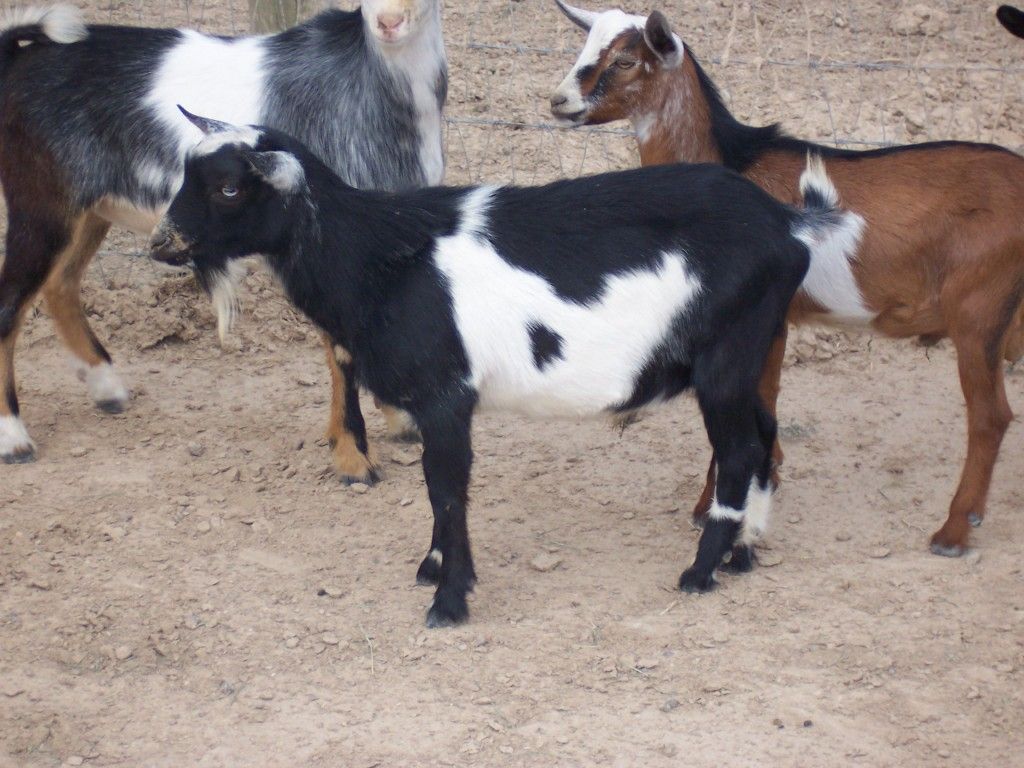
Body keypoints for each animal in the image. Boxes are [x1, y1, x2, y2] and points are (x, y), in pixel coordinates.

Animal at [0, 1, 445, 481]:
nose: (388, 22)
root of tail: (17, 57)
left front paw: (400, 420)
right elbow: (341, 348)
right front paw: (353, 458)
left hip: (90, 208)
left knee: (59, 283)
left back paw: (107, 387)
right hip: (42, 200)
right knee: (11, 303)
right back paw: (13, 437)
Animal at [149, 113, 857, 625]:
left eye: (229, 187)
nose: (163, 243)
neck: (381, 254)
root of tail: (789, 224)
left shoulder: (445, 394)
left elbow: (446, 489)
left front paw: (449, 600)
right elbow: (437, 492)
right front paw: (433, 567)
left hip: (726, 360)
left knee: (738, 452)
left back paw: (699, 573)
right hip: (754, 355)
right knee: (766, 437)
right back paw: (743, 553)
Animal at [551, 1, 1024, 558]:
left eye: (626, 60)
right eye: (585, 47)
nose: (559, 101)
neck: (730, 166)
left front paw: (712, 506)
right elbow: (767, 398)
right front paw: (766, 477)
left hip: (978, 311)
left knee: (990, 417)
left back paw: (952, 530)